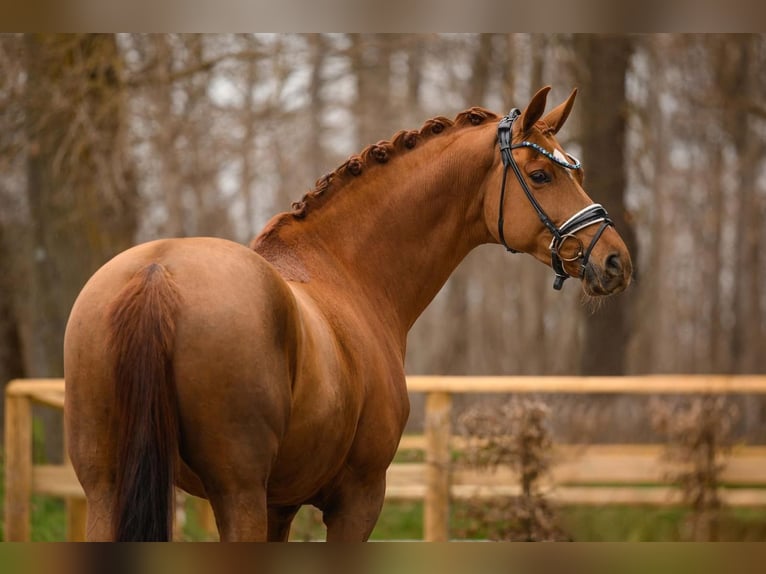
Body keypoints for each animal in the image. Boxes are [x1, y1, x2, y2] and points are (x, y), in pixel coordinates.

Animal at [63, 86, 632, 541]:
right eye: (539, 174)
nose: (615, 260)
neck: (347, 269)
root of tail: (158, 273)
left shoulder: (280, 505)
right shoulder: (357, 499)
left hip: (107, 489)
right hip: (236, 493)